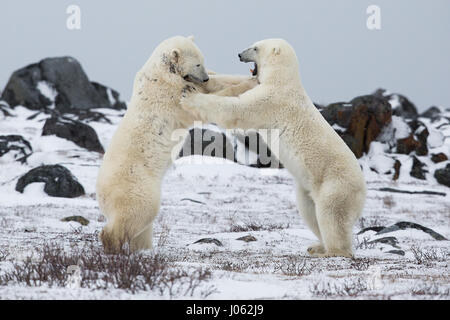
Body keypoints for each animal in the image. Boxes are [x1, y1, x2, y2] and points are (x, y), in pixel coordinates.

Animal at [96, 36, 256, 252]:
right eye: (197, 63)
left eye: (203, 61)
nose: (205, 77)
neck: (161, 73)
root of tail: (101, 194)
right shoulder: (171, 94)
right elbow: (199, 103)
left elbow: (218, 83)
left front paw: (251, 79)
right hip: (137, 187)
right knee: (136, 214)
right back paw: (112, 243)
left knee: (141, 225)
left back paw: (143, 248)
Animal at [181, 38, 368, 258]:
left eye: (255, 47)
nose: (239, 54)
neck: (282, 79)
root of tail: (363, 194)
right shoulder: (259, 84)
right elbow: (233, 82)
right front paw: (201, 79)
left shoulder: (271, 100)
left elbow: (236, 109)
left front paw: (190, 95)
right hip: (308, 190)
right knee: (310, 211)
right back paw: (316, 246)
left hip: (336, 186)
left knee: (331, 216)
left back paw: (332, 252)